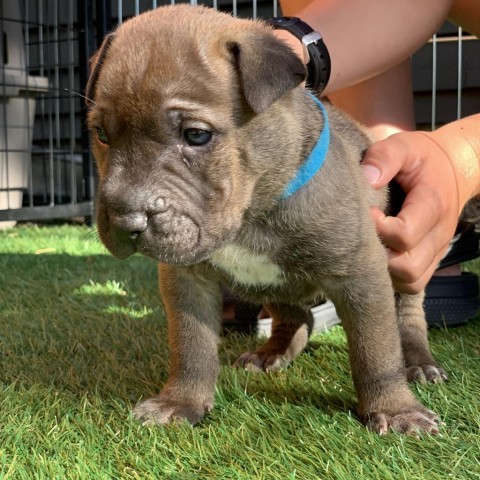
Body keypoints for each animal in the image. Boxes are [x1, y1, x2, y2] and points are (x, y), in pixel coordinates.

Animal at [86, 3, 446, 434]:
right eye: (100, 133)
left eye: (196, 135)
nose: (124, 221)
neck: (250, 214)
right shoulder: (186, 278)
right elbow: (190, 345)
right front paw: (180, 401)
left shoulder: (361, 270)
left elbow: (375, 348)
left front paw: (395, 409)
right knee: (296, 314)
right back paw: (271, 352)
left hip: (402, 268)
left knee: (406, 315)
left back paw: (419, 363)